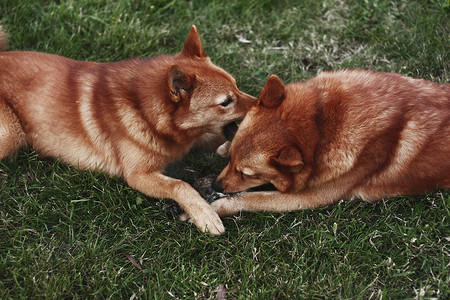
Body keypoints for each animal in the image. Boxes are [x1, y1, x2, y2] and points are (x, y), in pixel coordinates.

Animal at [0, 25, 255, 234]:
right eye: (226, 102)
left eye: (236, 85)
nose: (260, 105)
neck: (143, 109)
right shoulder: (138, 175)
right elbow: (180, 185)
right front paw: (205, 214)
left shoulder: (194, 138)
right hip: (11, 135)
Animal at [212, 70, 450, 216]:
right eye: (231, 160)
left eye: (247, 174)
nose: (215, 186)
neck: (321, 123)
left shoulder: (309, 197)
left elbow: (254, 198)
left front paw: (216, 207)